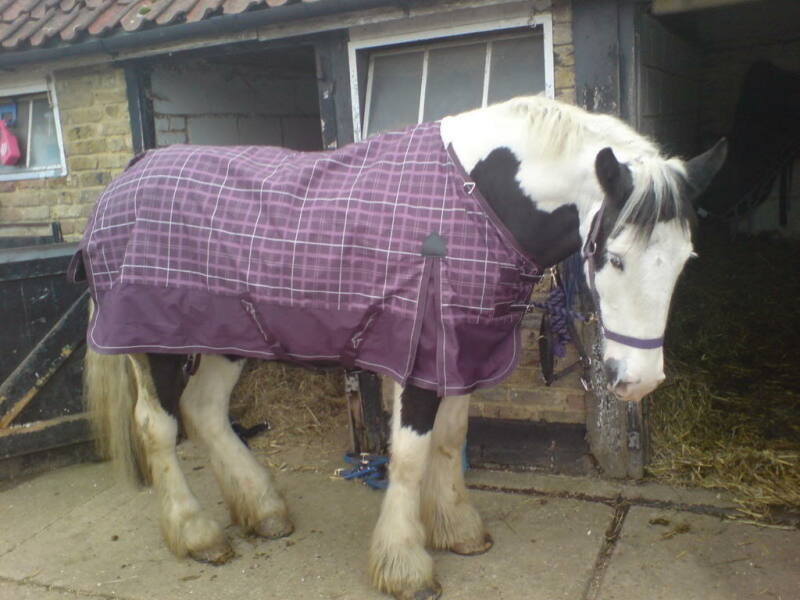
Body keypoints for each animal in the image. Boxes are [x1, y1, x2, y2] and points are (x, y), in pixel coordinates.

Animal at [73, 96, 726, 600]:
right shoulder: (419, 361)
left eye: (686, 260)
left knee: (205, 412)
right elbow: (409, 456)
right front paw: (405, 565)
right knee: (158, 427)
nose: (638, 380)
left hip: (227, 337)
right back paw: (197, 535)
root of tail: (124, 179)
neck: (476, 202)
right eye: (613, 257)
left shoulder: (461, 353)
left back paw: (264, 512)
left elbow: (451, 442)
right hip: (153, 344)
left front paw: (459, 530)